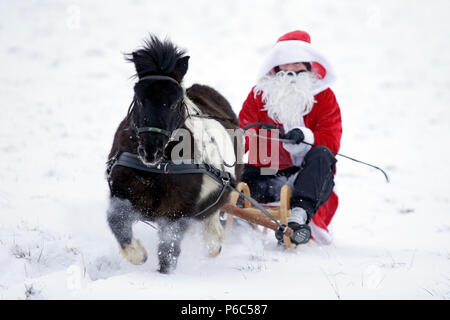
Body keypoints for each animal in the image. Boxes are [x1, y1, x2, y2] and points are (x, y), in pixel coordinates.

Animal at [106, 36, 243, 274]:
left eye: (174, 102)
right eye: (139, 98)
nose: (150, 149)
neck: (157, 169)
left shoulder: (176, 210)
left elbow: (169, 247)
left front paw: (163, 274)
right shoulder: (121, 192)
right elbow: (117, 221)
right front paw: (138, 255)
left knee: (212, 217)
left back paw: (214, 244)